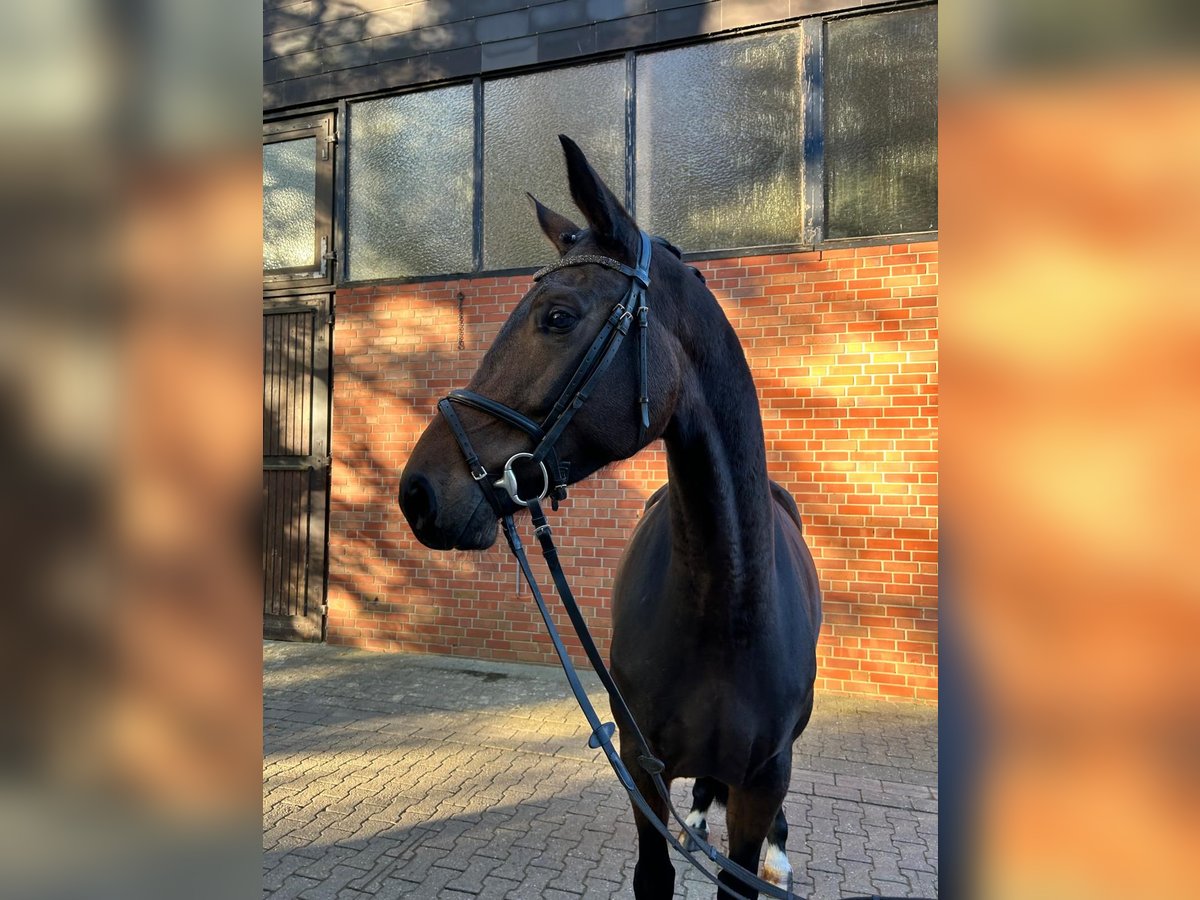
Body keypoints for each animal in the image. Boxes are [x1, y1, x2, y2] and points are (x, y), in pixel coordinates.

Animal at [398, 137, 820, 897]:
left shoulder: (763, 778)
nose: (418, 492)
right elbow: (655, 872)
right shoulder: (642, 767)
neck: (729, 610)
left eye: (558, 316)